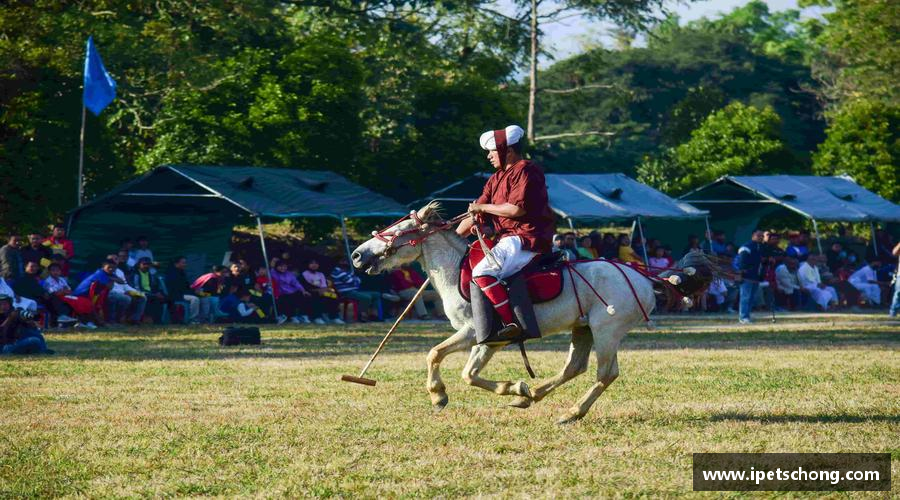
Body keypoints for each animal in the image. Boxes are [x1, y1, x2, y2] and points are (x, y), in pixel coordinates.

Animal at [350, 203, 712, 422]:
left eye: (396, 231)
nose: (356, 255)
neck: (456, 271)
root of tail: (645, 278)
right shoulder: (488, 340)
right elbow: (462, 370)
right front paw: (517, 390)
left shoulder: (475, 332)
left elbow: (440, 357)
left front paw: (439, 395)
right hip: (583, 327)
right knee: (574, 367)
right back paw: (537, 395)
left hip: (607, 329)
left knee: (605, 373)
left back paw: (572, 412)